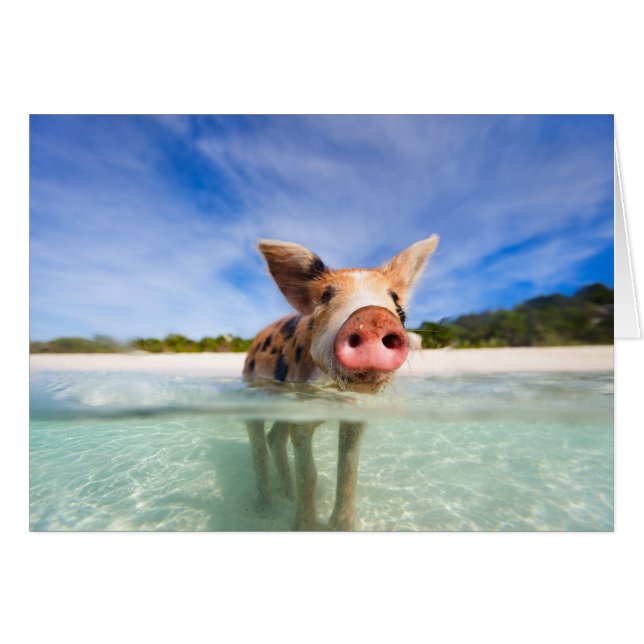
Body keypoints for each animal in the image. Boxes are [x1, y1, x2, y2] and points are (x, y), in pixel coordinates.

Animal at [243, 235, 439, 530]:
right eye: (326, 296)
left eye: (396, 301)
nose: (372, 316)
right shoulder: (301, 409)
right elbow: (309, 475)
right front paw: (304, 528)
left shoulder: (355, 414)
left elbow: (348, 471)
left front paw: (342, 527)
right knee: (258, 443)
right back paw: (265, 510)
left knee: (274, 438)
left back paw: (286, 495)